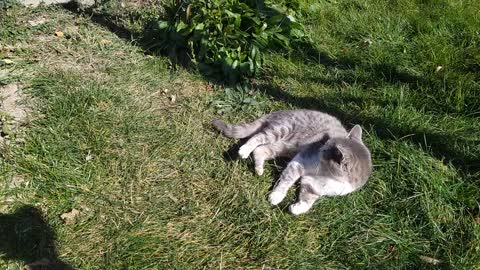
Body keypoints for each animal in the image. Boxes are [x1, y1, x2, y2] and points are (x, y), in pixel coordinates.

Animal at [212, 109, 374, 215]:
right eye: (325, 143)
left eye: (326, 148)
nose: (320, 146)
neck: (327, 174)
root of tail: (279, 112)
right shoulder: (300, 161)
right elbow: (286, 181)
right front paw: (276, 196)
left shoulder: (314, 185)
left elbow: (308, 200)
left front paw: (297, 208)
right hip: (281, 130)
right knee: (257, 138)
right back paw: (244, 151)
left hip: (282, 147)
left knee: (260, 150)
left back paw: (259, 169)